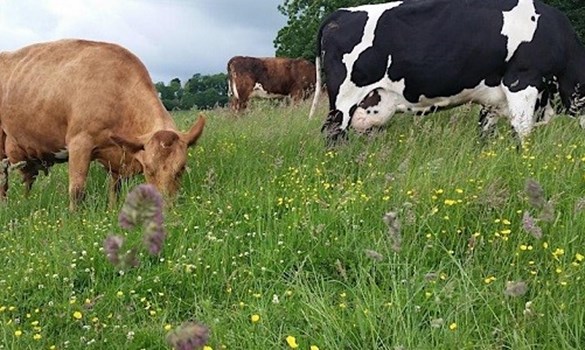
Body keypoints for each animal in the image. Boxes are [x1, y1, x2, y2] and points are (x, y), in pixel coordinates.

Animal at [0, 41, 205, 211]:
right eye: (148, 169)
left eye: (181, 169)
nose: (165, 207)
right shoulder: (79, 143)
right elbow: (76, 190)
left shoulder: (117, 158)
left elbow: (115, 189)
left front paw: (112, 210)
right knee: (3, 181)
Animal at [308, 0, 584, 144]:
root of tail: (339, 14)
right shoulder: (522, 82)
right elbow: (522, 132)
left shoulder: (493, 101)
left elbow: (485, 135)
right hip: (344, 100)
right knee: (333, 134)